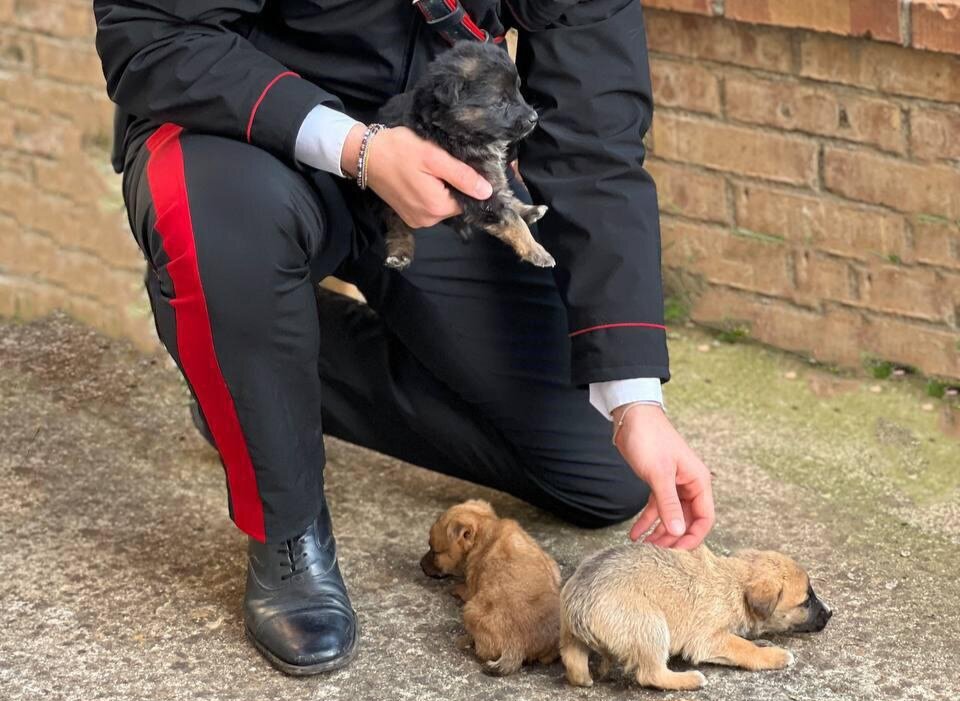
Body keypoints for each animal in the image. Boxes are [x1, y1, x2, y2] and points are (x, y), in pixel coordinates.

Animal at [376, 41, 556, 270]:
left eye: (518, 90)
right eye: (500, 103)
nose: (534, 118)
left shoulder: (491, 178)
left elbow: (508, 200)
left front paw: (527, 213)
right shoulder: (478, 190)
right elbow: (510, 218)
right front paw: (536, 251)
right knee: (395, 219)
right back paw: (400, 252)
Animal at [420, 498, 564, 672]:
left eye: (434, 551)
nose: (420, 565)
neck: (486, 528)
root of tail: (516, 647)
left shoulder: (471, 586)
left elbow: (462, 588)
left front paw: (455, 588)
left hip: (470, 611)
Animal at [560, 540, 828, 688]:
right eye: (806, 601)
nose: (830, 614)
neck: (735, 584)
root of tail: (578, 605)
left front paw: (764, 643)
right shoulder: (706, 639)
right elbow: (743, 647)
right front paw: (772, 655)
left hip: (572, 638)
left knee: (574, 662)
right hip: (650, 623)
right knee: (650, 674)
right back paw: (689, 679)